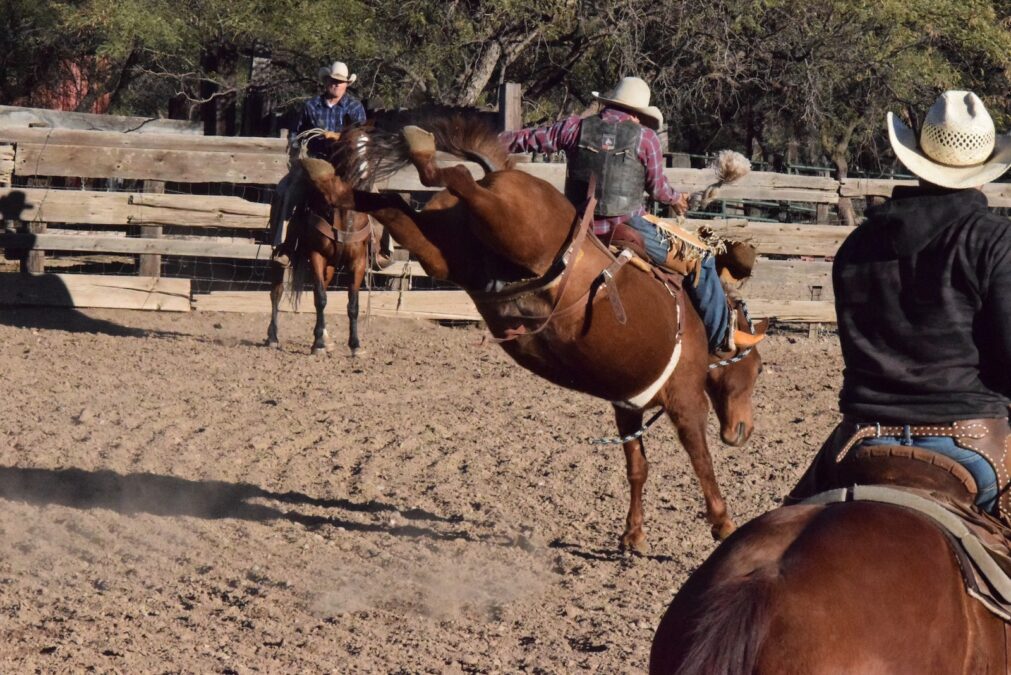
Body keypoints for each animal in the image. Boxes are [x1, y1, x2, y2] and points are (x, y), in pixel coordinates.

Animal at [307, 113, 767, 548]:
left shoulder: (627, 406)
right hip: (514, 227)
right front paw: (723, 523)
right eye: (759, 368)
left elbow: (637, 467)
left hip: (449, 252)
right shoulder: (687, 400)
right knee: (455, 180)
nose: (743, 431)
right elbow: (701, 459)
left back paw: (331, 180)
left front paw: (633, 536)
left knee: (392, 205)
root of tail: (500, 174)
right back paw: (418, 152)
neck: (699, 321)